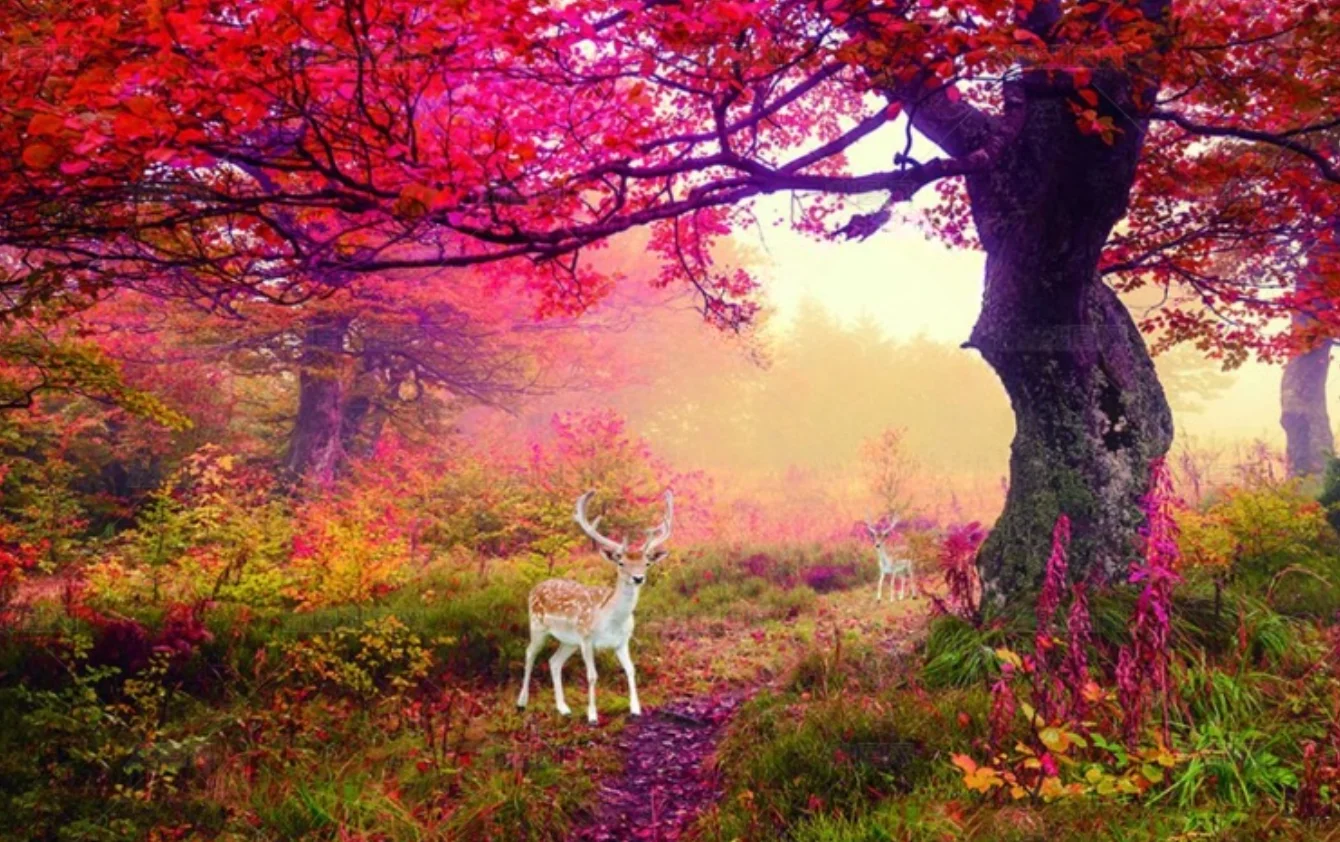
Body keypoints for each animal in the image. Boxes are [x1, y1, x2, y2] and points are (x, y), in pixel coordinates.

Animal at [516, 489, 672, 724]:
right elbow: (592, 676)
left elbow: (631, 670)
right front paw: (592, 716)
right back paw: (522, 703)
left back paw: (563, 708)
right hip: (538, 626)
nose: (638, 578)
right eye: (621, 562)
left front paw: (635, 709)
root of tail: (535, 587)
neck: (611, 622)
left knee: (554, 661)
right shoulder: (587, 638)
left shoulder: (622, 641)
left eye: (647, 563)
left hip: (569, 641)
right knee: (529, 654)